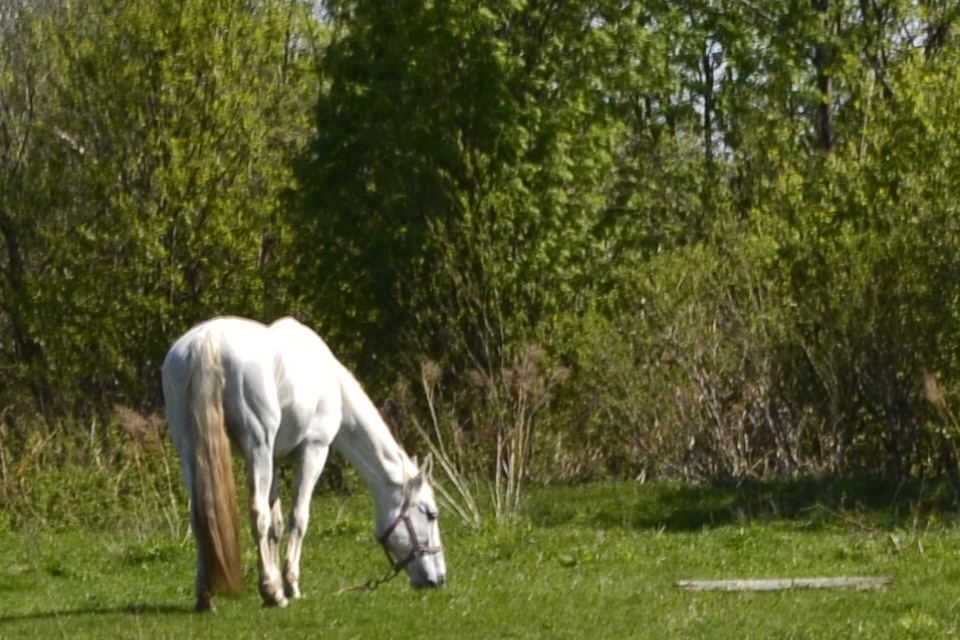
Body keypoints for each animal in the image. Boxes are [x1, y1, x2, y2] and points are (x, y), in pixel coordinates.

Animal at [161, 318, 446, 612]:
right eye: (430, 513)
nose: (438, 579)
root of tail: (208, 340)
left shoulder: (274, 461)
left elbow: (275, 526)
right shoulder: (314, 452)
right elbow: (298, 518)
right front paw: (289, 586)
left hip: (191, 450)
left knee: (200, 515)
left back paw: (206, 597)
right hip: (258, 447)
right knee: (257, 513)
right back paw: (272, 593)